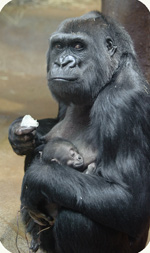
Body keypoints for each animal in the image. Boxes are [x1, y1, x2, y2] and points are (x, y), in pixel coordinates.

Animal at [8, 11, 150, 253]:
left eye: (77, 46)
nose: (62, 62)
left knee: (77, 219)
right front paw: (18, 134)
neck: (110, 75)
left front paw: (35, 178)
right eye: (58, 46)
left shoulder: (122, 102)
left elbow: (129, 200)